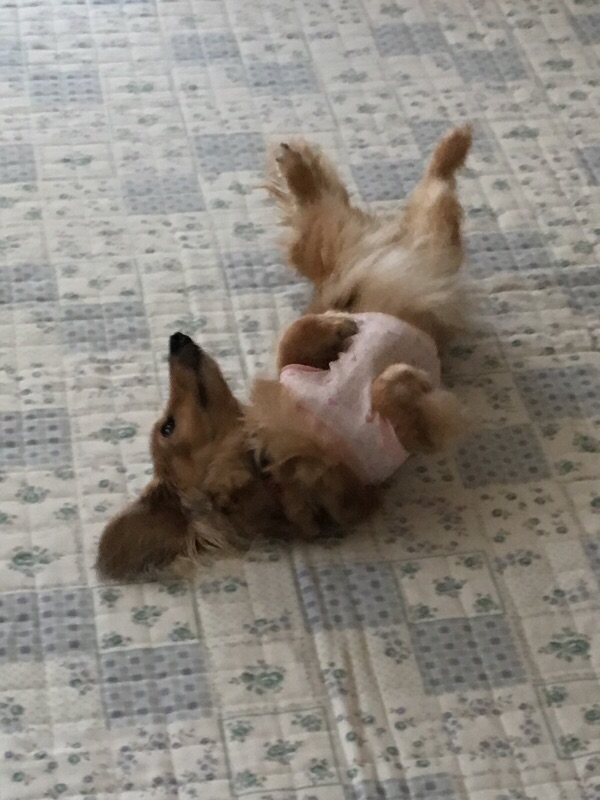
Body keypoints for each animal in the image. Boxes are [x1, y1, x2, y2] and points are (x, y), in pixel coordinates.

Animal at [96, 125, 472, 581]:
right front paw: (402, 377)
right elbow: (391, 398)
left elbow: (290, 341)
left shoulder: (292, 372)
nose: (176, 338)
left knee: (337, 200)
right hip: (418, 233)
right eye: (167, 426)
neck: (263, 458)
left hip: (332, 242)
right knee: (432, 190)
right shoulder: (360, 491)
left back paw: (300, 161)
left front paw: (336, 325)